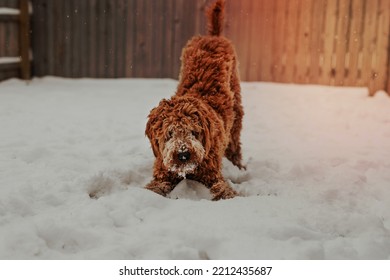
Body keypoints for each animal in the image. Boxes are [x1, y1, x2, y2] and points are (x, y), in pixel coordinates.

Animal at [145, 0, 244, 201]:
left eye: (193, 131)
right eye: (169, 133)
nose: (183, 154)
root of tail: (213, 36)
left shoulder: (212, 173)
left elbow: (223, 189)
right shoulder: (163, 170)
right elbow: (155, 186)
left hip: (237, 110)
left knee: (235, 142)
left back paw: (237, 164)